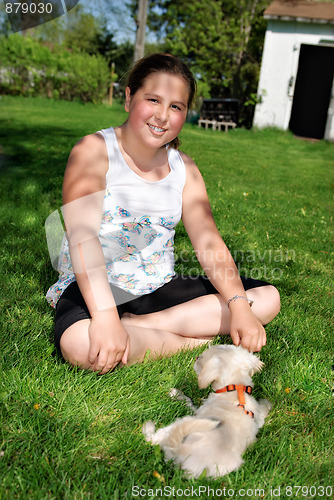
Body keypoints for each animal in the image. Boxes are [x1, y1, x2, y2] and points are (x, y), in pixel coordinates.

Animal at [143, 344, 272, 476]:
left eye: (202, 358)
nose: (196, 357)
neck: (235, 389)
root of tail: (180, 450)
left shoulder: (198, 411)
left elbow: (188, 401)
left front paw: (176, 394)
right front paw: (266, 404)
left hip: (180, 424)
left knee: (151, 439)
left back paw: (148, 427)